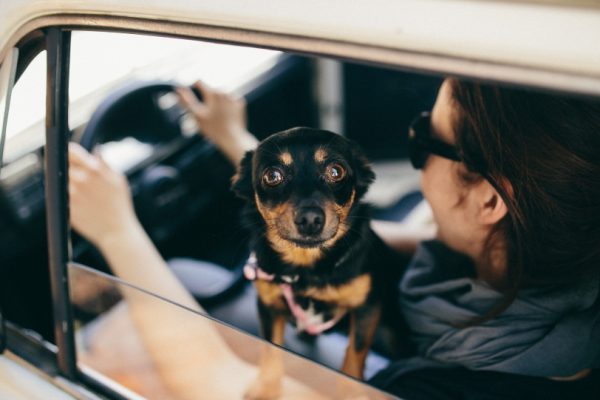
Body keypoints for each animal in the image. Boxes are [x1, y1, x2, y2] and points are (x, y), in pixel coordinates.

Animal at [233, 127, 408, 396]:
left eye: (336, 171)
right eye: (272, 176)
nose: (310, 219)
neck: (307, 269)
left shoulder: (368, 307)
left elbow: (355, 353)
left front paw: (350, 392)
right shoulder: (268, 306)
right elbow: (270, 351)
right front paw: (266, 389)